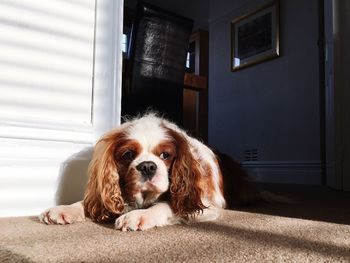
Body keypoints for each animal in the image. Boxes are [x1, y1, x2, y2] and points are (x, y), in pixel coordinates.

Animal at [39, 113, 284, 231]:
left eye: (165, 155)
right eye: (128, 154)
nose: (148, 166)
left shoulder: (207, 204)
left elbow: (167, 204)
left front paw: (140, 215)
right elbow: (89, 203)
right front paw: (64, 209)